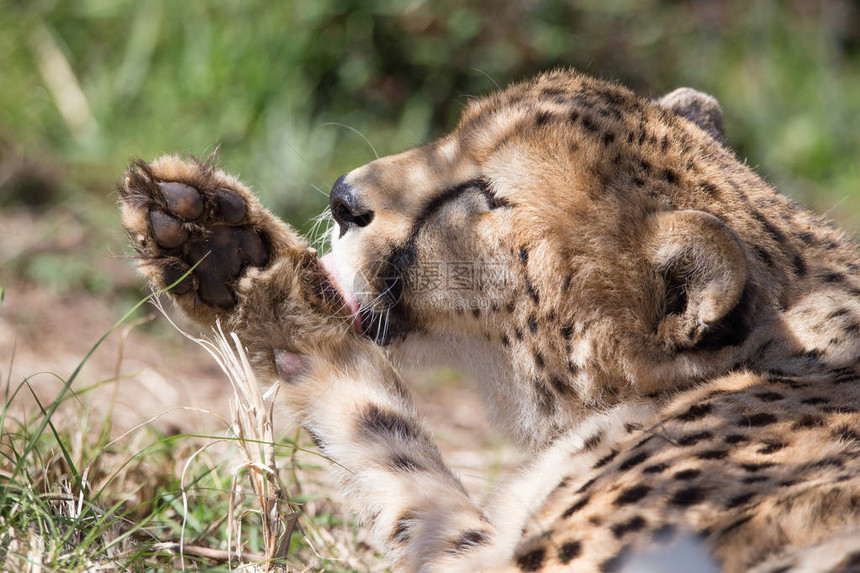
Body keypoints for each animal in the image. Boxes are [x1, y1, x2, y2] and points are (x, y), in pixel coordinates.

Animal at [117, 69, 860, 568]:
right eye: (454, 133)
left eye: (486, 194)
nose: (342, 197)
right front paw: (220, 244)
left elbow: (390, 438)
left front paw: (268, 291)